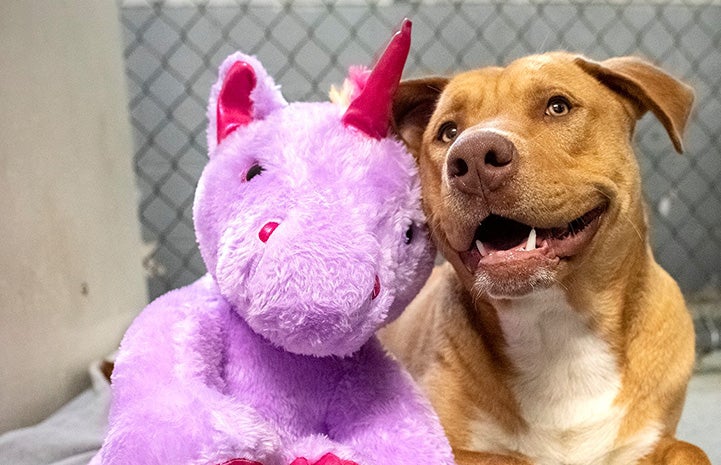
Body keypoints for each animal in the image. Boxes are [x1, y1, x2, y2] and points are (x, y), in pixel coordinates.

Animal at [382, 52, 708, 464]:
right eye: (448, 131)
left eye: (557, 106)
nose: (473, 157)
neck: (557, 332)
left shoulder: (653, 441)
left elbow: (690, 450)